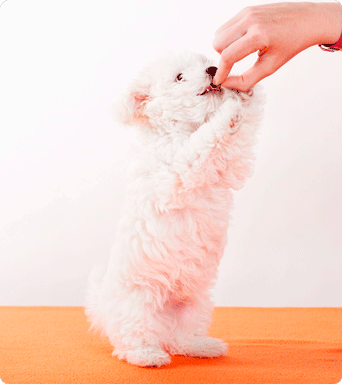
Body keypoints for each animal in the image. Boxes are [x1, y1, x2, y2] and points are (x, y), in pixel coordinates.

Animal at [85, 50, 264, 366]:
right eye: (179, 77)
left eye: (205, 62)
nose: (213, 68)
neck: (176, 129)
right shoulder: (178, 170)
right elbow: (205, 140)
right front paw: (229, 108)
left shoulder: (231, 165)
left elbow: (238, 139)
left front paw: (244, 93)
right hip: (137, 303)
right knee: (130, 338)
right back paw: (147, 355)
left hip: (196, 304)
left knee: (182, 338)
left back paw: (202, 346)